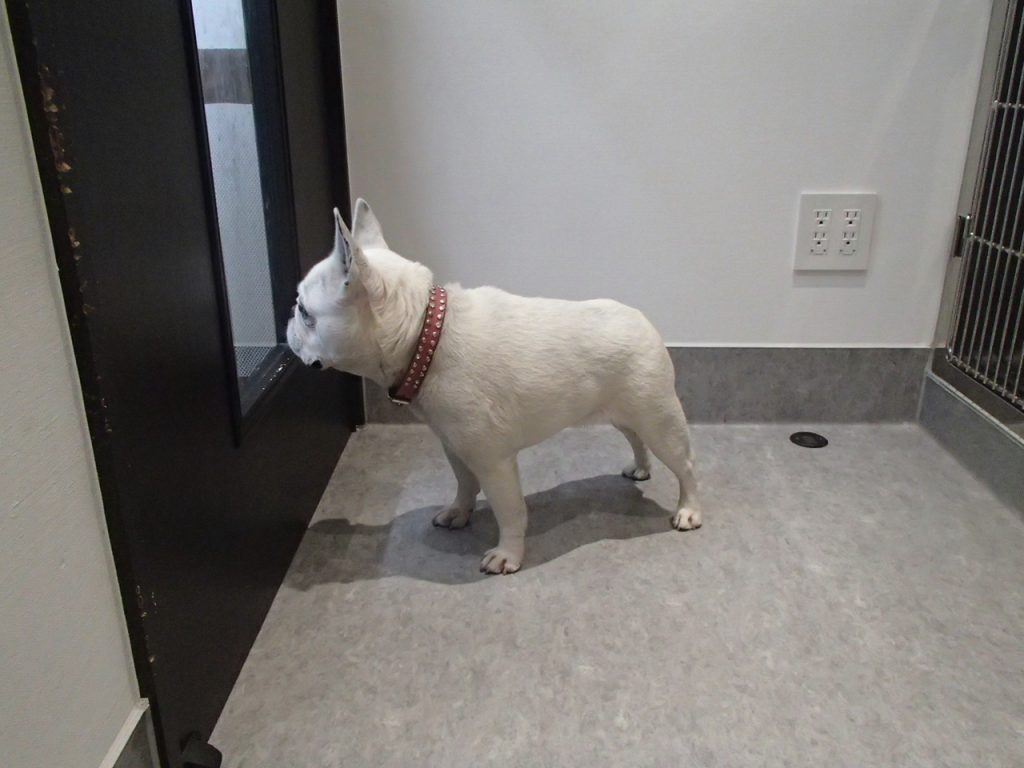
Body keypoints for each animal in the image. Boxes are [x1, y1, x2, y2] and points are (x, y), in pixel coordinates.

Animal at [287, 200, 701, 574]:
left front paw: (508, 554)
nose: (288, 326)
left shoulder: (493, 460)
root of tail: (643, 320)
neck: (425, 335)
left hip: (659, 419)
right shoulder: (454, 444)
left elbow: (510, 510)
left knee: (685, 465)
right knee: (636, 439)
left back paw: (688, 510)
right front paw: (458, 513)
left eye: (305, 312)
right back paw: (641, 468)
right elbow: (464, 483)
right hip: (625, 413)